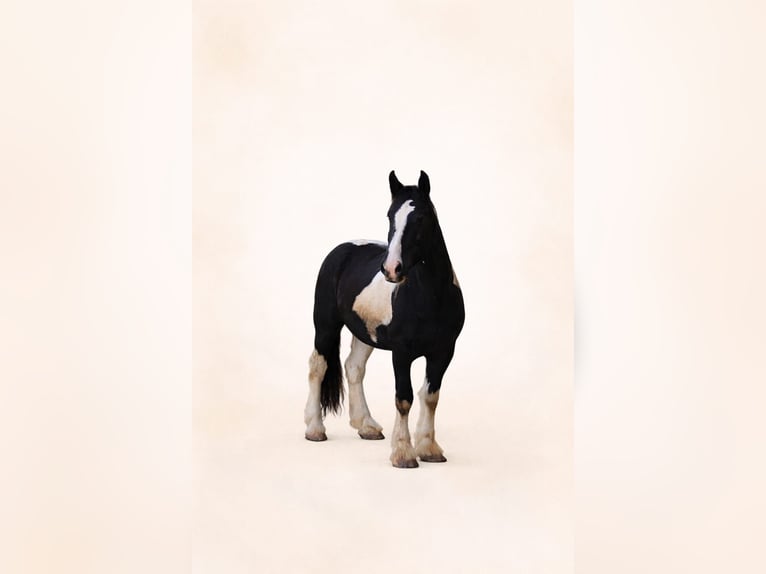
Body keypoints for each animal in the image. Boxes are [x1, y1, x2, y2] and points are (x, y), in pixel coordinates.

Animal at [304, 170, 465, 468]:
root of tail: (342, 250)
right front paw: (403, 453)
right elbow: (404, 398)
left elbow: (430, 397)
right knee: (318, 366)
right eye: (390, 216)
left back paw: (366, 426)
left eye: (421, 217)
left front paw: (429, 448)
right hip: (325, 325)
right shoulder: (401, 353)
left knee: (354, 367)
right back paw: (314, 429)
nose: (391, 269)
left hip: (364, 334)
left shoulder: (443, 352)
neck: (430, 297)